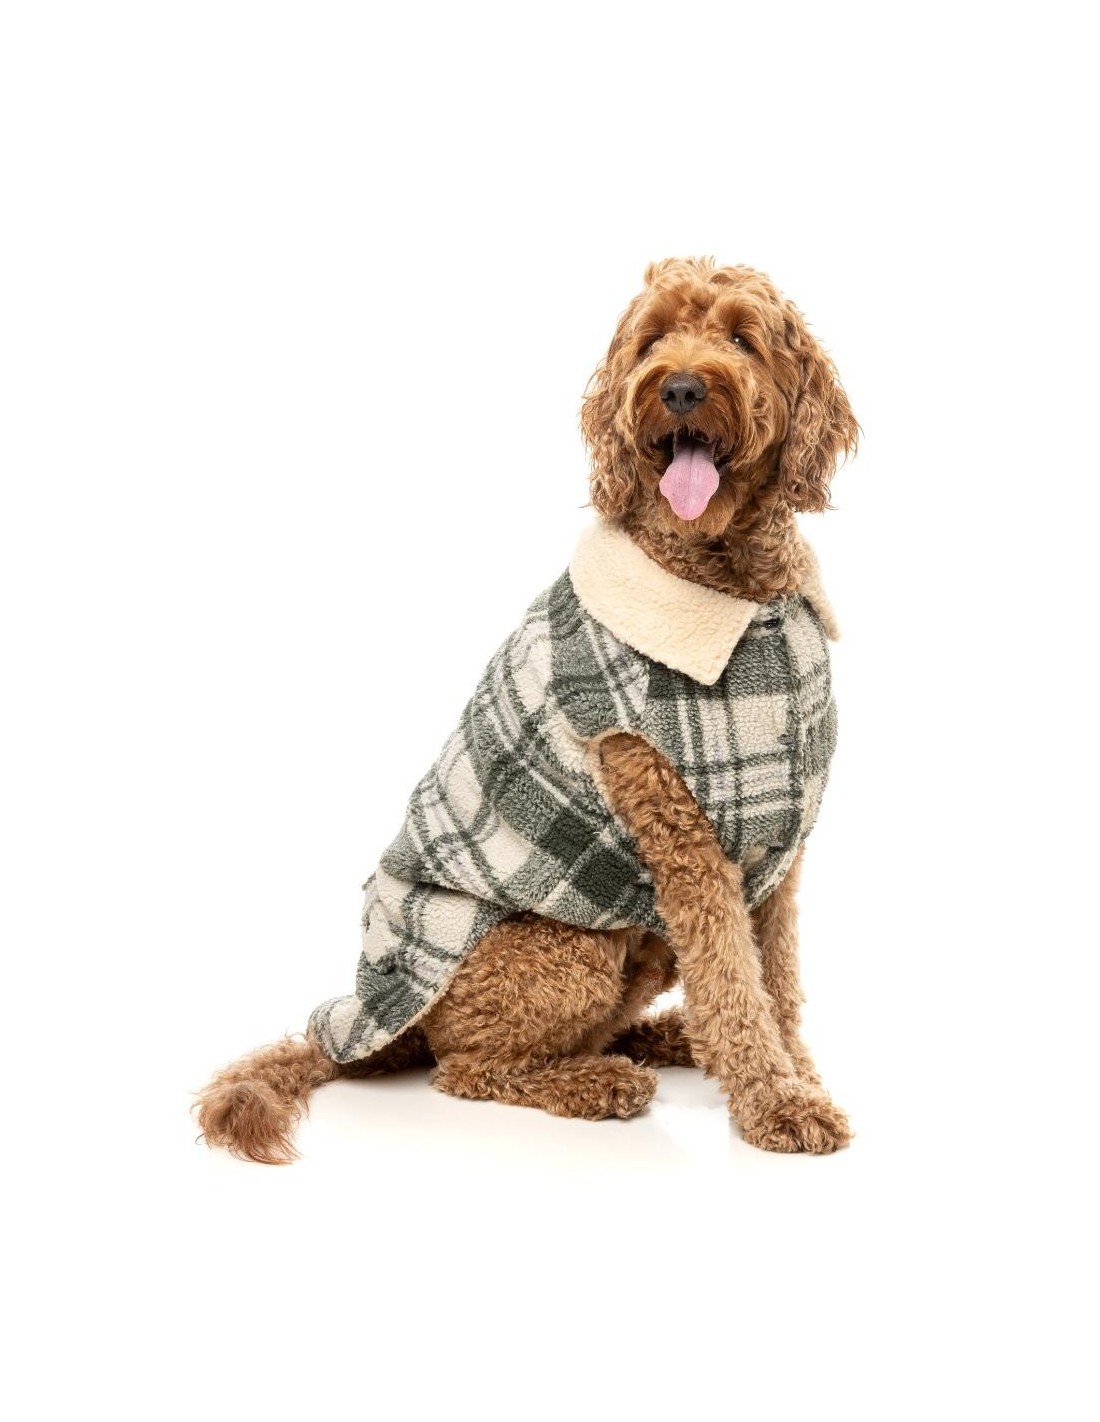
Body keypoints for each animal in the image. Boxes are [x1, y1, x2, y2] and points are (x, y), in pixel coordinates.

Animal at [196, 257, 859, 1162]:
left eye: (740, 338)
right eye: (653, 340)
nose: (681, 387)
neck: (731, 593)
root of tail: (398, 1024)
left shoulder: (777, 851)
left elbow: (776, 981)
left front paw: (797, 1079)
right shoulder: (688, 845)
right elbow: (735, 984)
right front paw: (773, 1102)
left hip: (641, 944)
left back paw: (662, 1039)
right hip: (565, 949)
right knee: (466, 1069)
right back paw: (601, 1081)